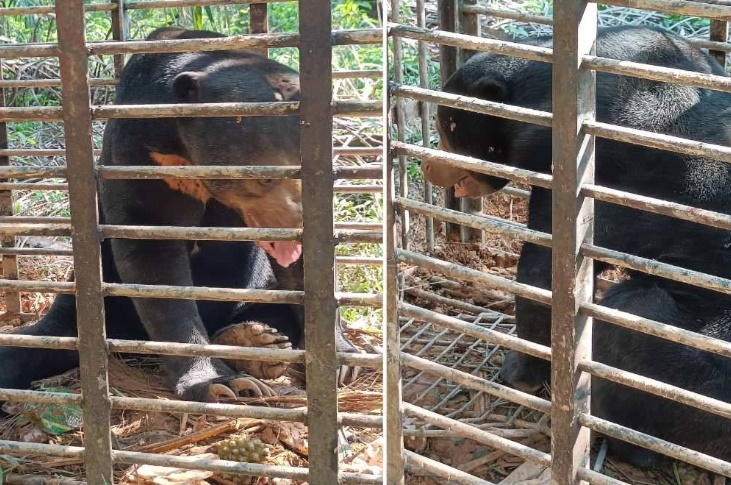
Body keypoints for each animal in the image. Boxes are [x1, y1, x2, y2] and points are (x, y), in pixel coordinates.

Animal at [0, 27, 360, 404]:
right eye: (265, 177)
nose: (298, 223)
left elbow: (305, 275)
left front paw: (341, 358)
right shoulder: (140, 157)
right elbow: (154, 261)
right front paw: (217, 383)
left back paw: (255, 342)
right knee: (29, 347)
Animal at [426, 25, 731, 466]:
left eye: (447, 128)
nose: (429, 166)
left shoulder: (606, 176)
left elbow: (545, 273)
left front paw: (518, 371)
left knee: (630, 326)